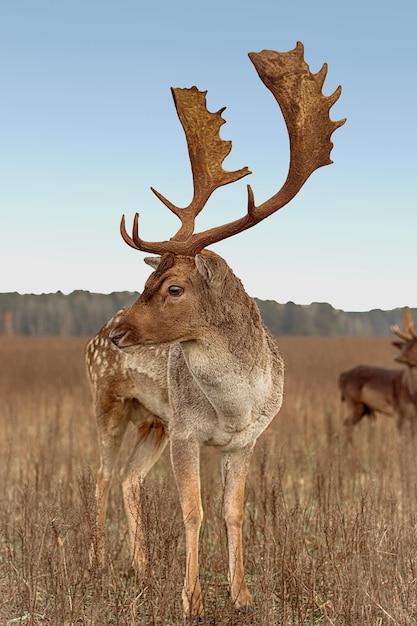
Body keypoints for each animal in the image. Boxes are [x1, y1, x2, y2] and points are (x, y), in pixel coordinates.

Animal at [85, 42, 344, 620]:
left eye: (173, 287)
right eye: (148, 279)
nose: (119, 335)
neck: (235, 406)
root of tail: (90, 338)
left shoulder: (245, 441)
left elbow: (231, 513)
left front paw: (243, 595)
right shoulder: (186, 432)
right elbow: (193, 512)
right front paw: (192, 600)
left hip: (151, 419)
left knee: (130, 478)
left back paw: (141, 569)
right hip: (109, 401)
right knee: (102, 475)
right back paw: (93, 565)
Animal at [340, 306, 417, 442]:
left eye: (415, 347)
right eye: (405, 345)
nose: (397, 356)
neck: (413, 395)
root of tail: (342, 377)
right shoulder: (399, 411)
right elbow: (403, 440)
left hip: (364, 408)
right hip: (354, 402)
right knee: (347, 425)